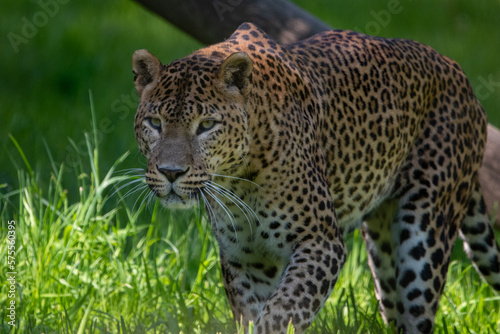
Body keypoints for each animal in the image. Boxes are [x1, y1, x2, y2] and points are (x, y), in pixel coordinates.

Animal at [133, 22, 500, 332]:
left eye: (207, 125)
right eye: (154, 123)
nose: (171, 172)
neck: (238, 181)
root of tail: (458, 72)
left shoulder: (321, 242)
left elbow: (284, 310)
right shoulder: (245, 258)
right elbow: (254, 313)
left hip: (424, 233)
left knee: (418, 310)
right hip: (383, 250)